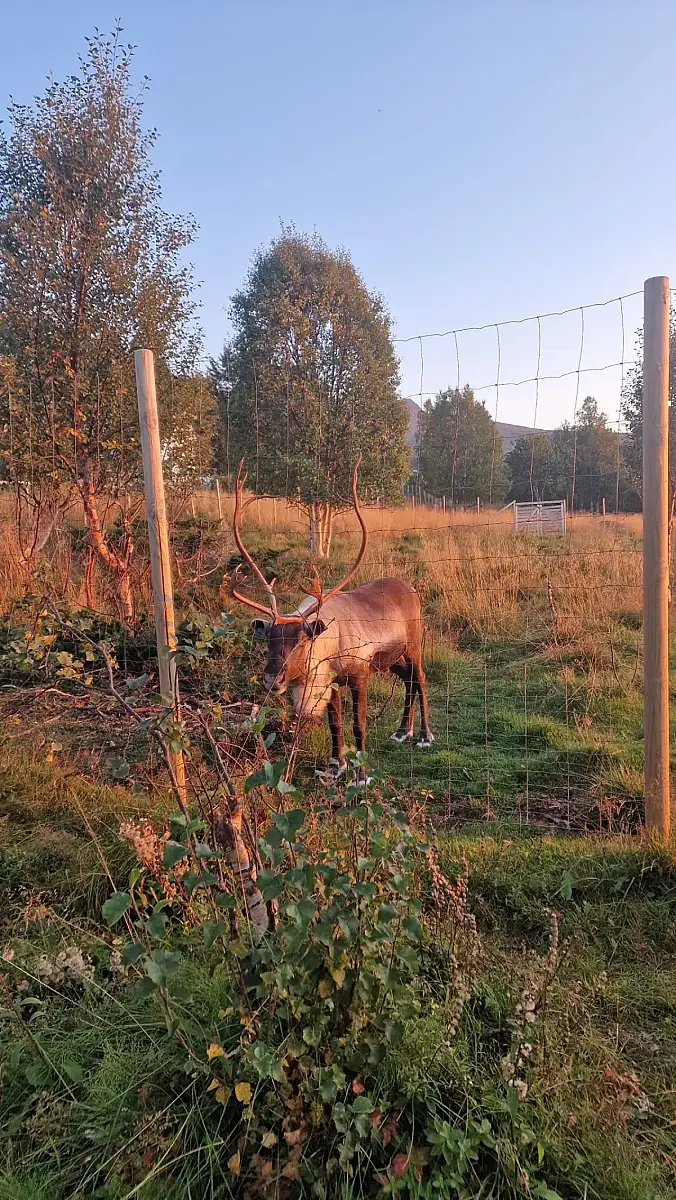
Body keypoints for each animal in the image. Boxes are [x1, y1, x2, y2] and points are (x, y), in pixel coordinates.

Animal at [228, 459, 434, 782]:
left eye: (302, 641)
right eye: (269, 639)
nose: (273, 680)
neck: (330, 645)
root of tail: (411, 588)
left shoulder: (359, 675)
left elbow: (358, 725)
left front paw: (362, 775)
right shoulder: (332, 683)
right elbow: (335, 725)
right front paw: (336, 766)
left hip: (414, 645)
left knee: (421, 679)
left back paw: (424, 735)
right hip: (393, 658)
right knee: (409, 680)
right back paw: (403, 731)